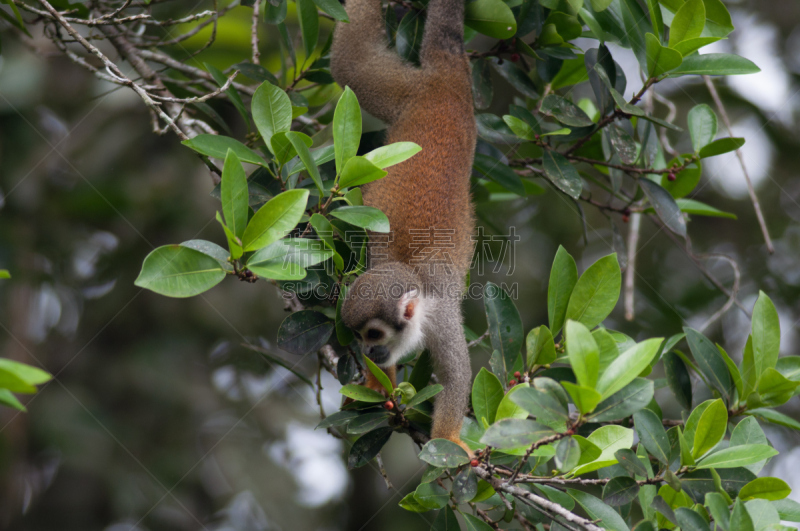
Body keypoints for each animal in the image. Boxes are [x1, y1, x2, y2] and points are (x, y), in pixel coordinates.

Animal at [332, 0, 476, 454]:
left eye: (374, 336)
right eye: (357, 337)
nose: (367, 352)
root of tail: (445, 82)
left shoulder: (443, 316)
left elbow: (457, 378)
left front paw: (448, 439)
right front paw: (380, 386)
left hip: (410, 94)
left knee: (350, 65)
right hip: (406, 94)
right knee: (351, 65)